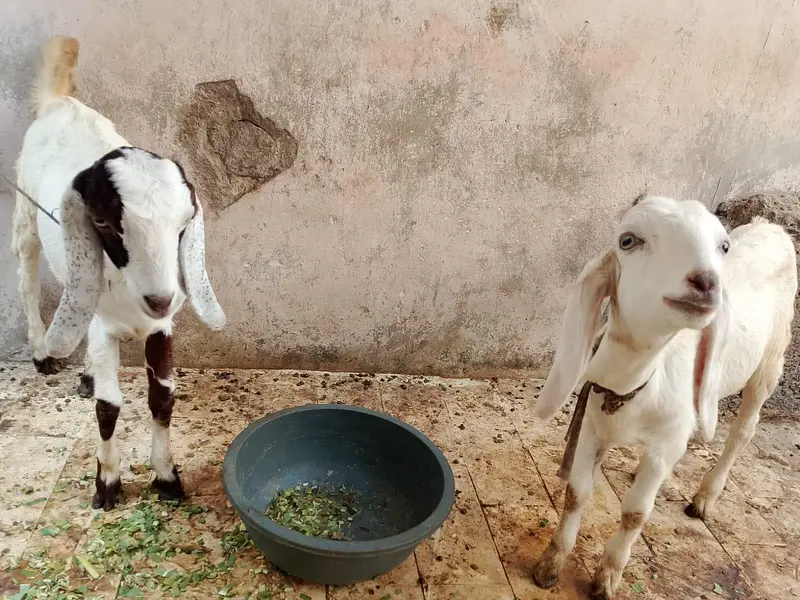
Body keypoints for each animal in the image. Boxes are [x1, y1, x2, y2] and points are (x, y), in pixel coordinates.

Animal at [11, 36, 226, 510]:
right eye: (103, 222)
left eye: (184, 223)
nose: (161, 298)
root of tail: (61, 103)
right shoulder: (103, 325)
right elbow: (108, 408)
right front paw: (107, 484)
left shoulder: (162, 327)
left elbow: (162, 397)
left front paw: (166, 478)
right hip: (25, 211)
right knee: (27, 274)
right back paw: (41, 351)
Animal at [530, 195, 796, 598]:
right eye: (628, 241)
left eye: (723, 246)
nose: (707, 282)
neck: (634, 386)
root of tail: (771, 226)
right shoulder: (593, 423)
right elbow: (577, 491)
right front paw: (550, 564)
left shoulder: (665, 442)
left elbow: (635, 512)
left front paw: (607, 577)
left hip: (771, 360)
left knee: (743, 430)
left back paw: (705, 498)